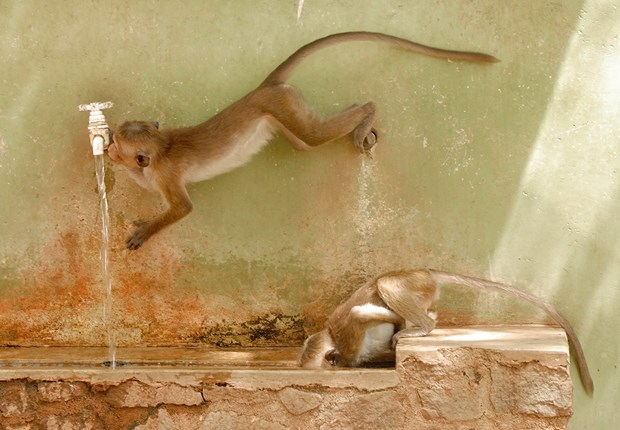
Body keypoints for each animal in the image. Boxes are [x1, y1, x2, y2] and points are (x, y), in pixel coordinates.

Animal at [105, 31, 494, 249]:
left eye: (116, 145)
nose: (106, 149)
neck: (161, 149)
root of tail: (262, 90)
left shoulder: (166, 175)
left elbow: (182, 208)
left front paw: (146, 231)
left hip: (284, 105)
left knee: (313, 135)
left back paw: (366, 110)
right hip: (285, 113)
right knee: (305, 141)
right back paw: (357, 112)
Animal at [300, 268, 596, 396]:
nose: (335, 365)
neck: (334, 339)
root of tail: (422, 272)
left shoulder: (349, 342)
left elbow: (357, 315)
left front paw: (397, 323)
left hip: (411, 282)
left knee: (385, 284)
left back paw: (422, 324)